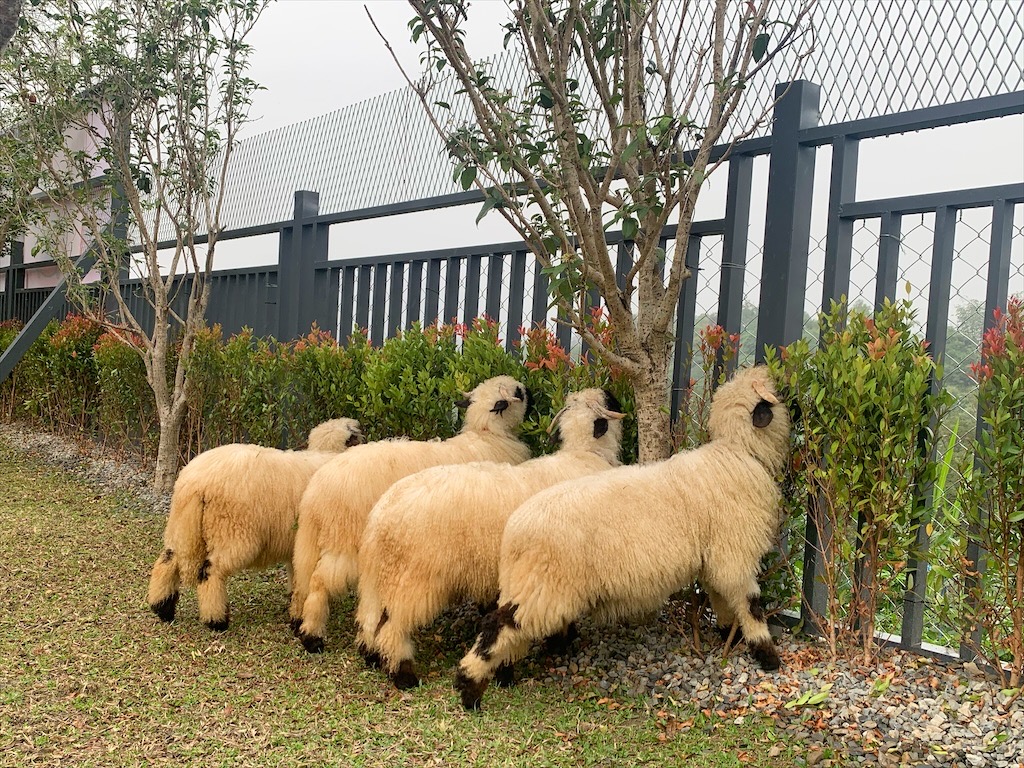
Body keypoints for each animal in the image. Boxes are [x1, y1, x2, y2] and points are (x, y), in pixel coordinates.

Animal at [146, 421, 364, 630]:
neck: (329, 453)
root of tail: (196, 483)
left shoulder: (295, 544)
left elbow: (295, 571)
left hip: (183, 525)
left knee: (168, 560)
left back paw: (162, 608)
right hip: (233, 532)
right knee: (211, 572)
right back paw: (217, 621)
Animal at [286, 376, 532, 651]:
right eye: (519, 392)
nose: (529, 390)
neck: (487, 435)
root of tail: (317, 489)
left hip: (315, 537)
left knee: (303, 576)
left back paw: (298, 621)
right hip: (344, 540)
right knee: (319, 580)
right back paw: (312, 637)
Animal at [352, 387, 622, 688]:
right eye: (609, 400)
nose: (612, 393)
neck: (585, 454)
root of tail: (381, 516)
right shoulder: (558, 570)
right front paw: (560, 641)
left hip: (379, 576)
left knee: (368, 618)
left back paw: (371, 656)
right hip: (413, 578)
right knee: (392, 626)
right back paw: (404, 675)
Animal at [454, 366, 790, 708]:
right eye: (781, 394)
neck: (740, 453)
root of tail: (514, 533)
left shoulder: (718, 555)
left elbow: (721, 598)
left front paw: (727, 633)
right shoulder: (734, 552)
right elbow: (751, 604)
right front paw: (767, 655)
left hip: (530, 585)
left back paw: (499, 675)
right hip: (543, 589)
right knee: (497, 626)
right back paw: (469, 688)